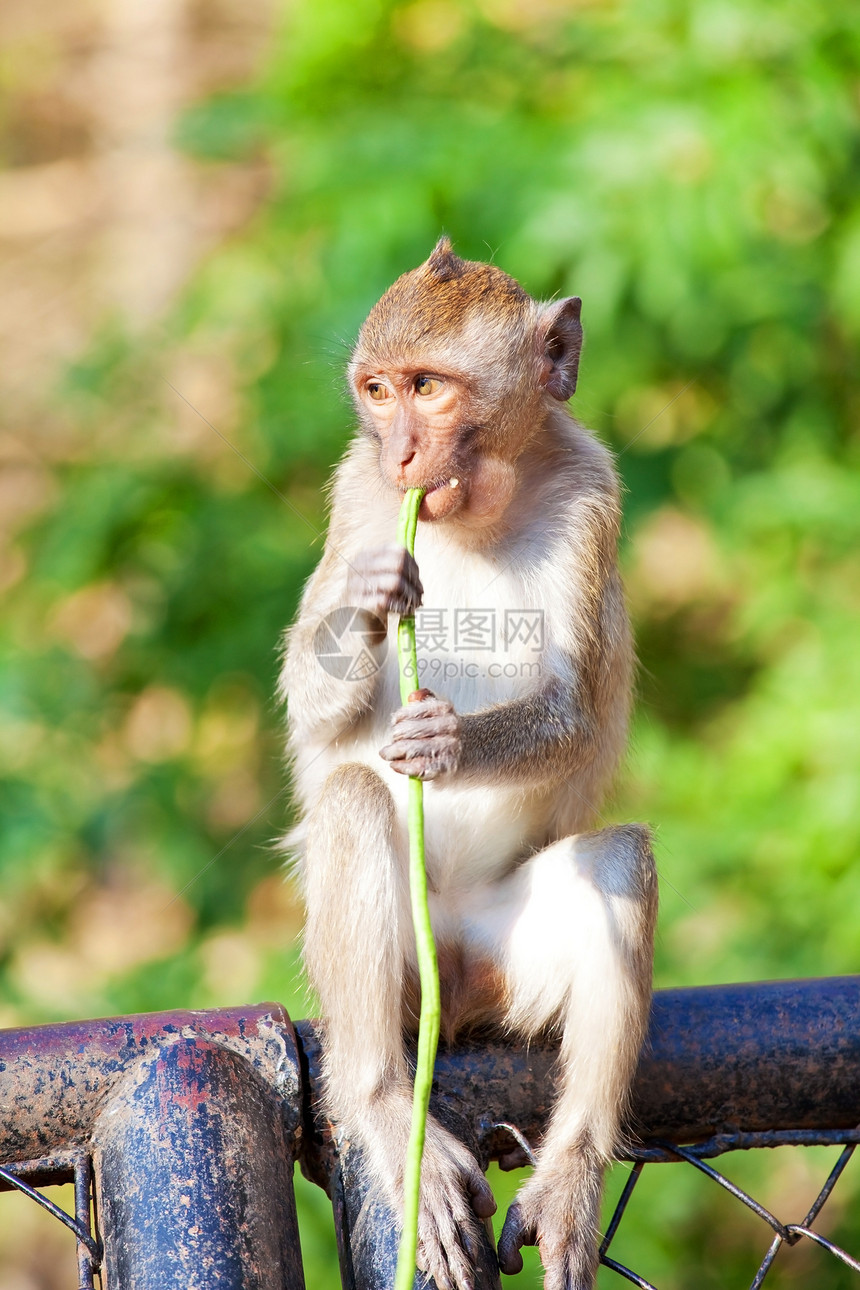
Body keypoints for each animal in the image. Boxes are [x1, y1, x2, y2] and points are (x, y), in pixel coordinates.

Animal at [279, 239, 654, 1290]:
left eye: (429, 388)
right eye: (376, 390)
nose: (401, 452)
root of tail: (457, 968)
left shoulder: (591, 492)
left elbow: (574, 713)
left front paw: (447, 745)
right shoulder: (357, 495)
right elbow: (306, 695)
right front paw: (367, 604)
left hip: (505, 945)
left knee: (619, 861)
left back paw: (571, 1168)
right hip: (388, 967)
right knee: (355, 802)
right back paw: (380, 1104)